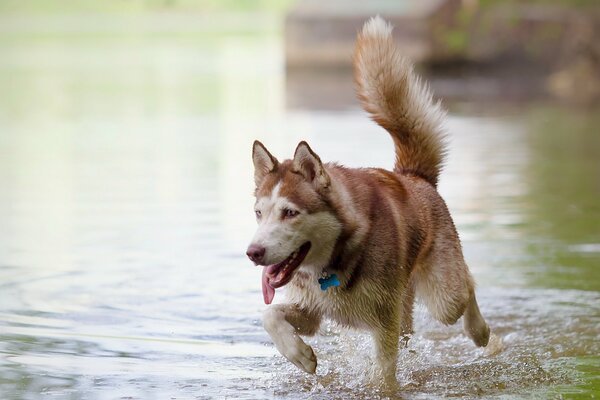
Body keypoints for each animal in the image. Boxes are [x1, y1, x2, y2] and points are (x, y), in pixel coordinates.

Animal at [246, 16, 490, 382]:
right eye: (259, 213)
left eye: (289, 212)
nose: (253, 252)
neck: (334, 260)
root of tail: (412, 175)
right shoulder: (313, 311)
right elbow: (270, 315)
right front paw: (300, 355)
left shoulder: (384, 322)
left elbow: (383, 374)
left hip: (443, 297)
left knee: (467, 288)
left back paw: (481, 331)